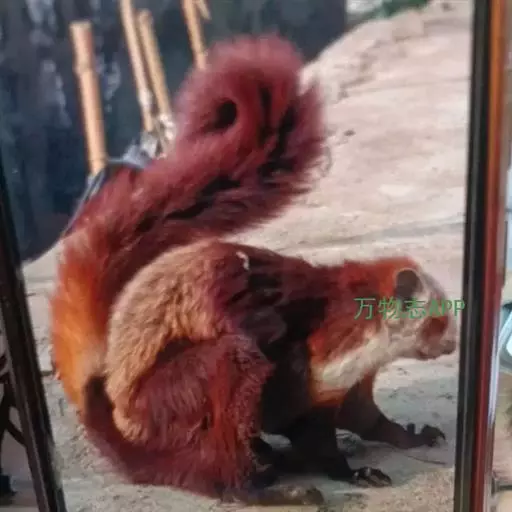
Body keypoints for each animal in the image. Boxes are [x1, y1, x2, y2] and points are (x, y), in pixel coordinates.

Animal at [50, 35, 458, 507]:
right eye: (438, 319)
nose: (453, 344)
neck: (367, 330)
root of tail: (121, 424)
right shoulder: (324, 362)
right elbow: (306, 427)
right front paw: (349, 471)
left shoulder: (353, 379)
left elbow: (364, 418)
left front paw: (408, 437)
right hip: (167, 404)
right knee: (234, 362)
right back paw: (253, 486)